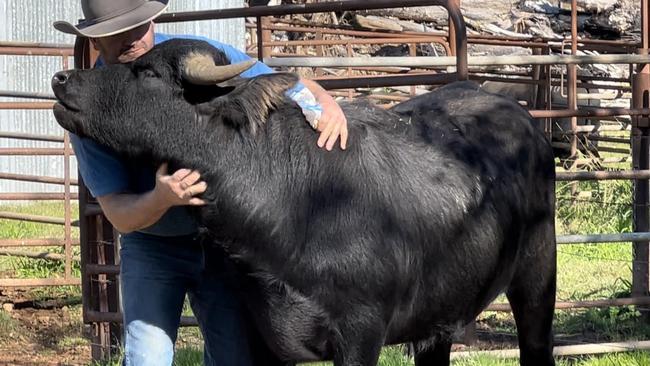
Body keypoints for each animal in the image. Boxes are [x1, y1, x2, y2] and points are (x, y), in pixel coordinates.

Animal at [53, 38, 556, 364]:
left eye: (149, 72)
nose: (61, 78)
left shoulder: (361, 333)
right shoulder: (260, 332)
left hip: (537, 277)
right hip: (439, 321)